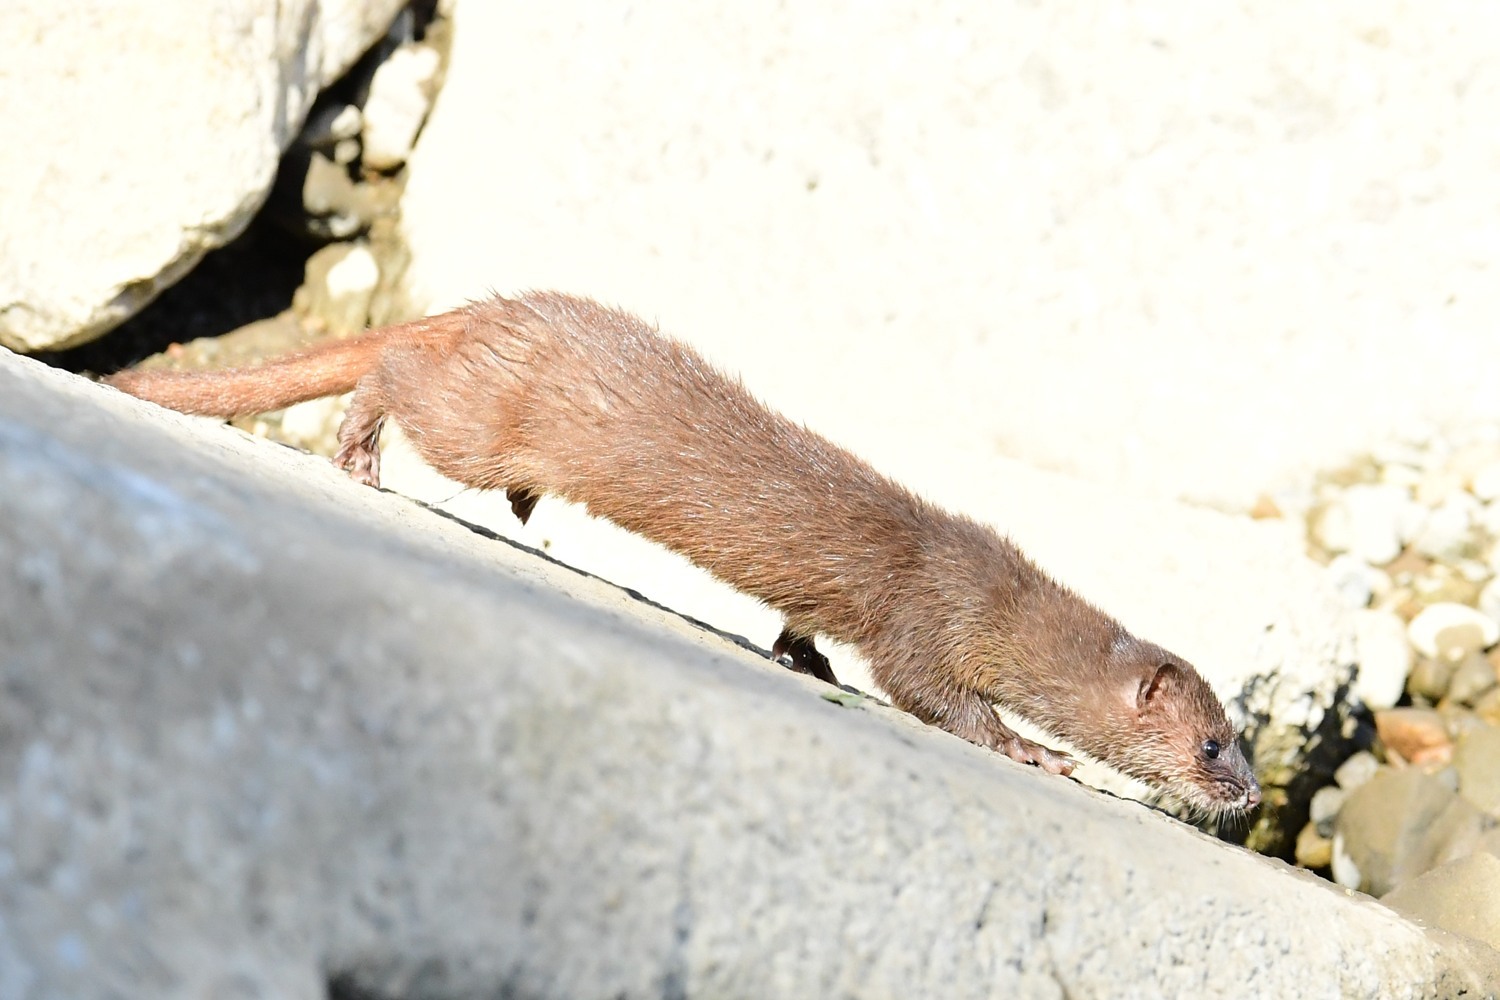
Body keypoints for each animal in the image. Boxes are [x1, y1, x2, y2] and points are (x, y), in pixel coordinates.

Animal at [105, 289, 1260, 815]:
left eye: (1247, 739)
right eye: (1213, 744)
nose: (1248, 798)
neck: (997, 585)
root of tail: (489, 309)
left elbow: (808, 628)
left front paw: (804, 656)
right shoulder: (928, 616)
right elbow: (929, 688)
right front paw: (1035, 750)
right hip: (475, 418)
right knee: (391, 370)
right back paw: (357, 452)